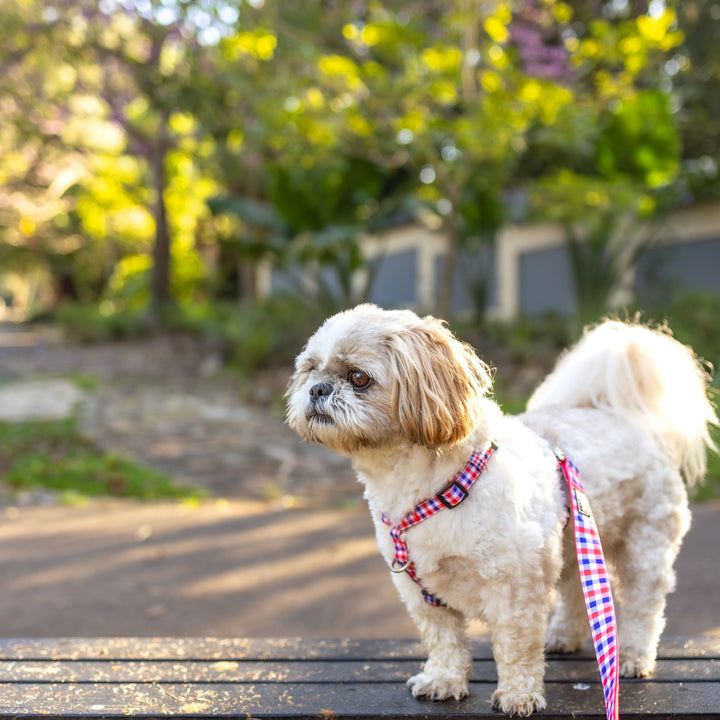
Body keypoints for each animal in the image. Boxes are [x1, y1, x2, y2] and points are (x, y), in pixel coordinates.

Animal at [286, 302, 716, 716]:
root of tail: (619, 412)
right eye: (309, 370)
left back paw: (632, 656)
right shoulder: (418, 589)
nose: (318, 389)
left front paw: (519, 695)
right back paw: (565, 635)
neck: (436, 488)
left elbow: (517, 648)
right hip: (574, 543)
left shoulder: (516, 588)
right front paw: (443, 680)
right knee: (577, 589)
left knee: (645, 602)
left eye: (358, 377)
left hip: (645, 546)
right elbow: (443, 639)